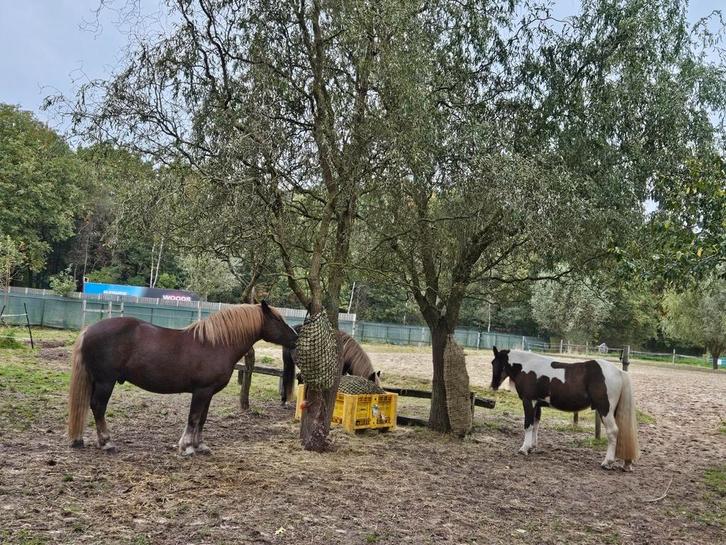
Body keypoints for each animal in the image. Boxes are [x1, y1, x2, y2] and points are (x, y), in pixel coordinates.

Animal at [67, 301, 297, 455]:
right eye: (278, 319)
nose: (296, 338)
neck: (217, 344)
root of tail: (89, 330)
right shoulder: (201, 391)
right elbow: (193, 417)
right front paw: (187, 447)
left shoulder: (208, 392)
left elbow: (202, 419)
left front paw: (200, 445)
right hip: (105, 382)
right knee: (98, 407)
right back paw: (106, 442)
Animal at [490, 346, 640, 471]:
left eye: (493, 363)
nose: (493, 385)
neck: (526, 366)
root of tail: (619, 372)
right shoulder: (537, 404)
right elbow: (536, 425)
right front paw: (532, 447)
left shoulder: (528, 402)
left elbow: (528, 425)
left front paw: (524, 449)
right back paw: (626, 464)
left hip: (605, 409)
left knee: (613, 431)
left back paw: (607, 462)